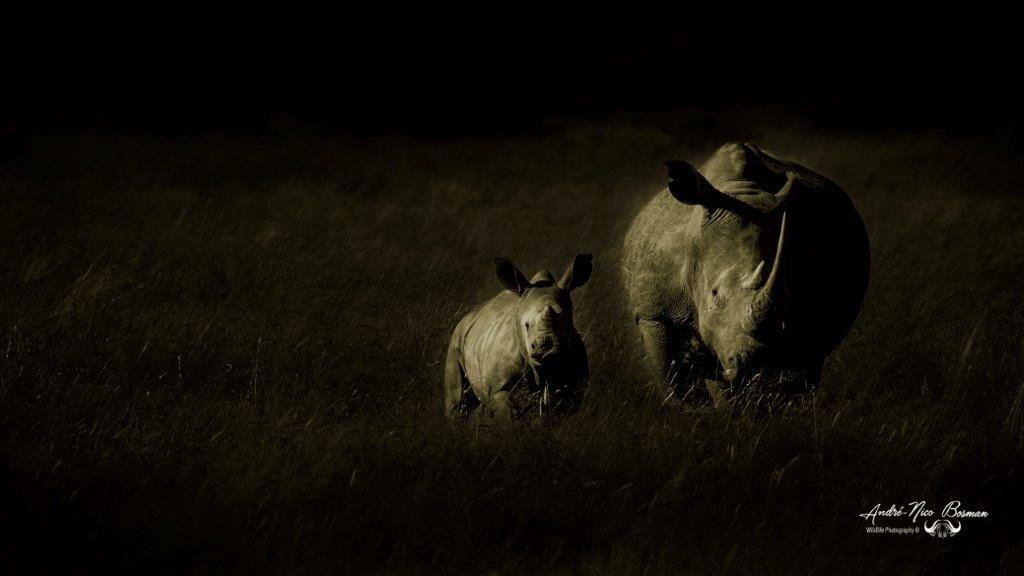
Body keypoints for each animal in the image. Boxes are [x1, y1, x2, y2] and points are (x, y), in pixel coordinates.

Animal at [444, 255, 592, 422]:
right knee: (457, 400)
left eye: (566, 322)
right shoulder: (500, 386)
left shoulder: (574, 384)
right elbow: (507, 419)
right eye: (526, 325)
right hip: (456, 339)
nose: (544, 347)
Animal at [621, 142, 869, 402]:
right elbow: (669, 376)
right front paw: (689, 408)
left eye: (788, 296)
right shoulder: (653, 311)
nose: (756, 361)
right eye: (714, 294)